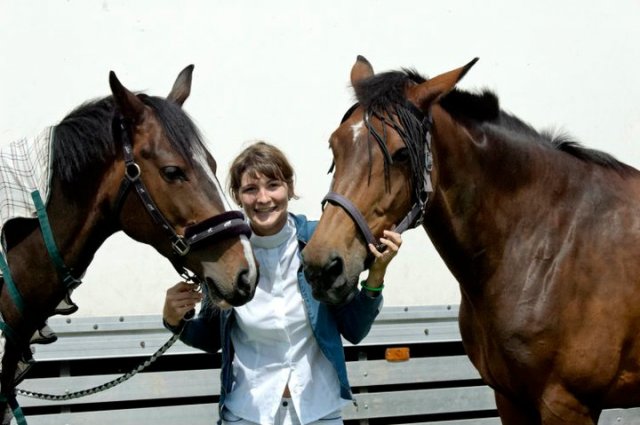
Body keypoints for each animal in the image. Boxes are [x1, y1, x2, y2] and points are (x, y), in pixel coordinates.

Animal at [302, 56, 640, 424]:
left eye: (402, 153)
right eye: (335, 146)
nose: (322, 266)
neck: (547, 243)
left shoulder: (567, 405)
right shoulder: (510, 399)